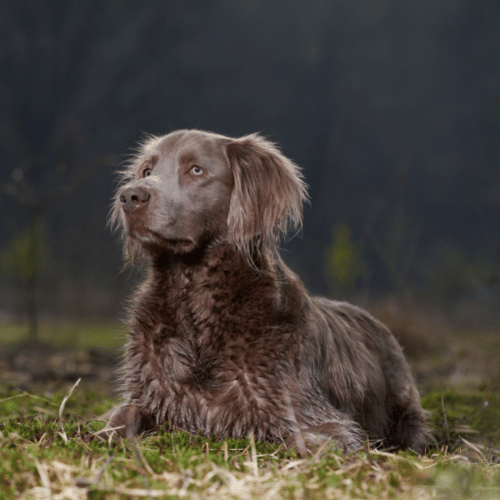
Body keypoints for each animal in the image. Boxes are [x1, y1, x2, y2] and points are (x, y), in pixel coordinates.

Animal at [106, 130, 426, 454]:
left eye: (196, 170)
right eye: (148, 171)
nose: (129, 196)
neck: (196, 303)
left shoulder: (325, 420)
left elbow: (298, 439)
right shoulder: (154, 396)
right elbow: (123, 415)